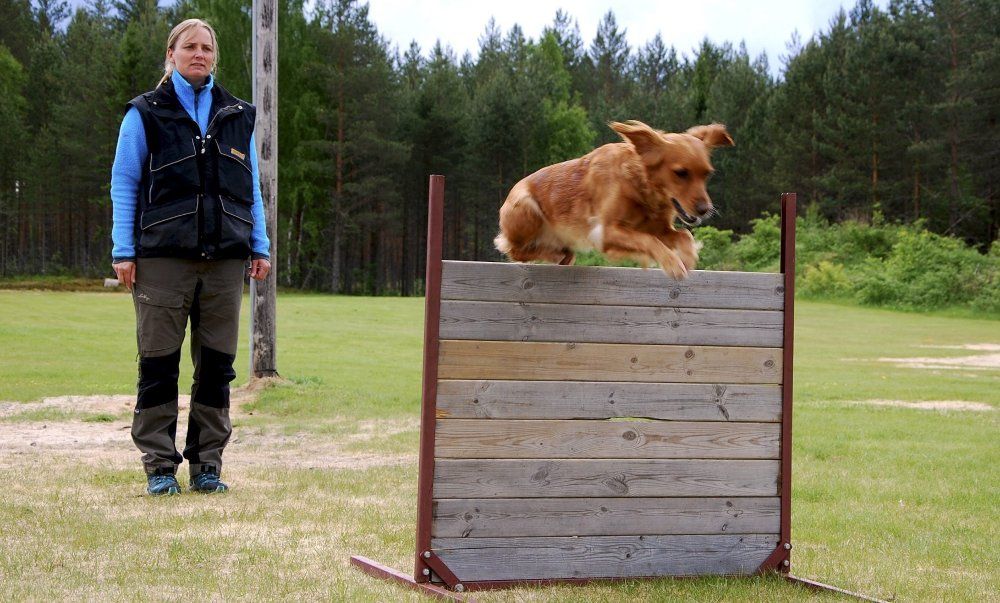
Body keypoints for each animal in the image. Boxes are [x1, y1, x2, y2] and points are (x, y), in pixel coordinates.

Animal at [494, 121, 736, 280]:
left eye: (707, 174)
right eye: (681, 173)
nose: (705, 210)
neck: (639, 184)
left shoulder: (658, 227)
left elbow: (683, 235)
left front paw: (687, 257)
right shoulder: (605, 231)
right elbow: (649, 241)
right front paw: (672, 264)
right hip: (526, 208)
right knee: (513, 249)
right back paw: (554, 252)